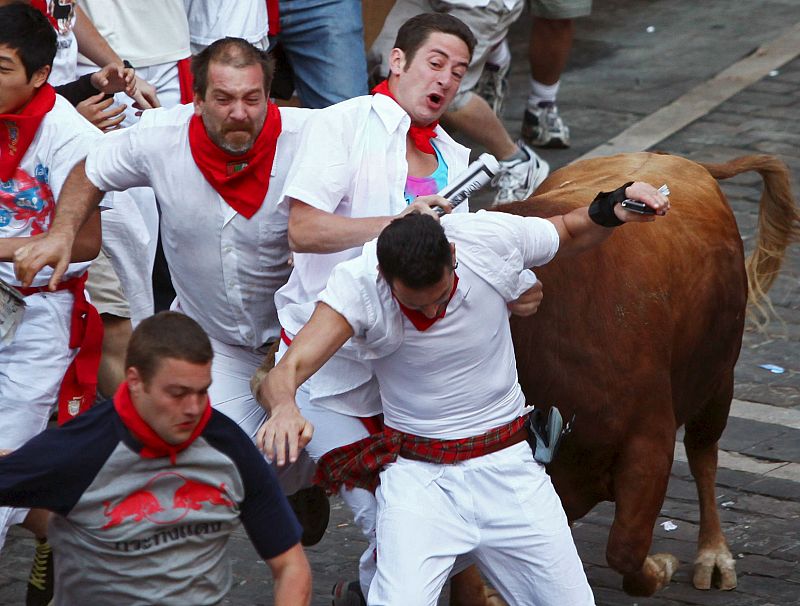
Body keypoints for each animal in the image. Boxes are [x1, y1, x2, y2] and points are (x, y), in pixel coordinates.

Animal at [504, 152, 796, 600]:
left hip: (718, 378)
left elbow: (625, 546)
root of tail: (676, 159)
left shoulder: (650, 442)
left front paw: (661, 567)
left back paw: (713, 556)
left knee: (703, 454)